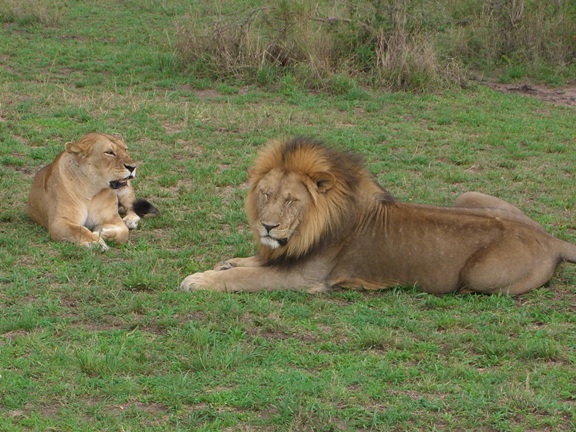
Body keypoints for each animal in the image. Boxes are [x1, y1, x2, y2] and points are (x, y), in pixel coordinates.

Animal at [28, 133, 159, 251]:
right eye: (109, 152)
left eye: (125, 149)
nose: (133, 167)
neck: (91, 189)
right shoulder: (59, 222)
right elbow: (79, 230)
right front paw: (94, 242)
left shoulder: (111, 218)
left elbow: (123, 232)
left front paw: (101, 232)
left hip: (125, 191)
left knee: (131, 207)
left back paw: (130, 220)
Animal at [182, 137, 576, 296]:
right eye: (266, 194)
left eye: (292, 200)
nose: (267, 225)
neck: (307, 230)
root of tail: (551, 240)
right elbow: (246, 262)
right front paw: (223, 264)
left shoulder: (304, 278)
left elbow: (246, 277)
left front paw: (200, 280)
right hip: (468, 195)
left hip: (479, 276)